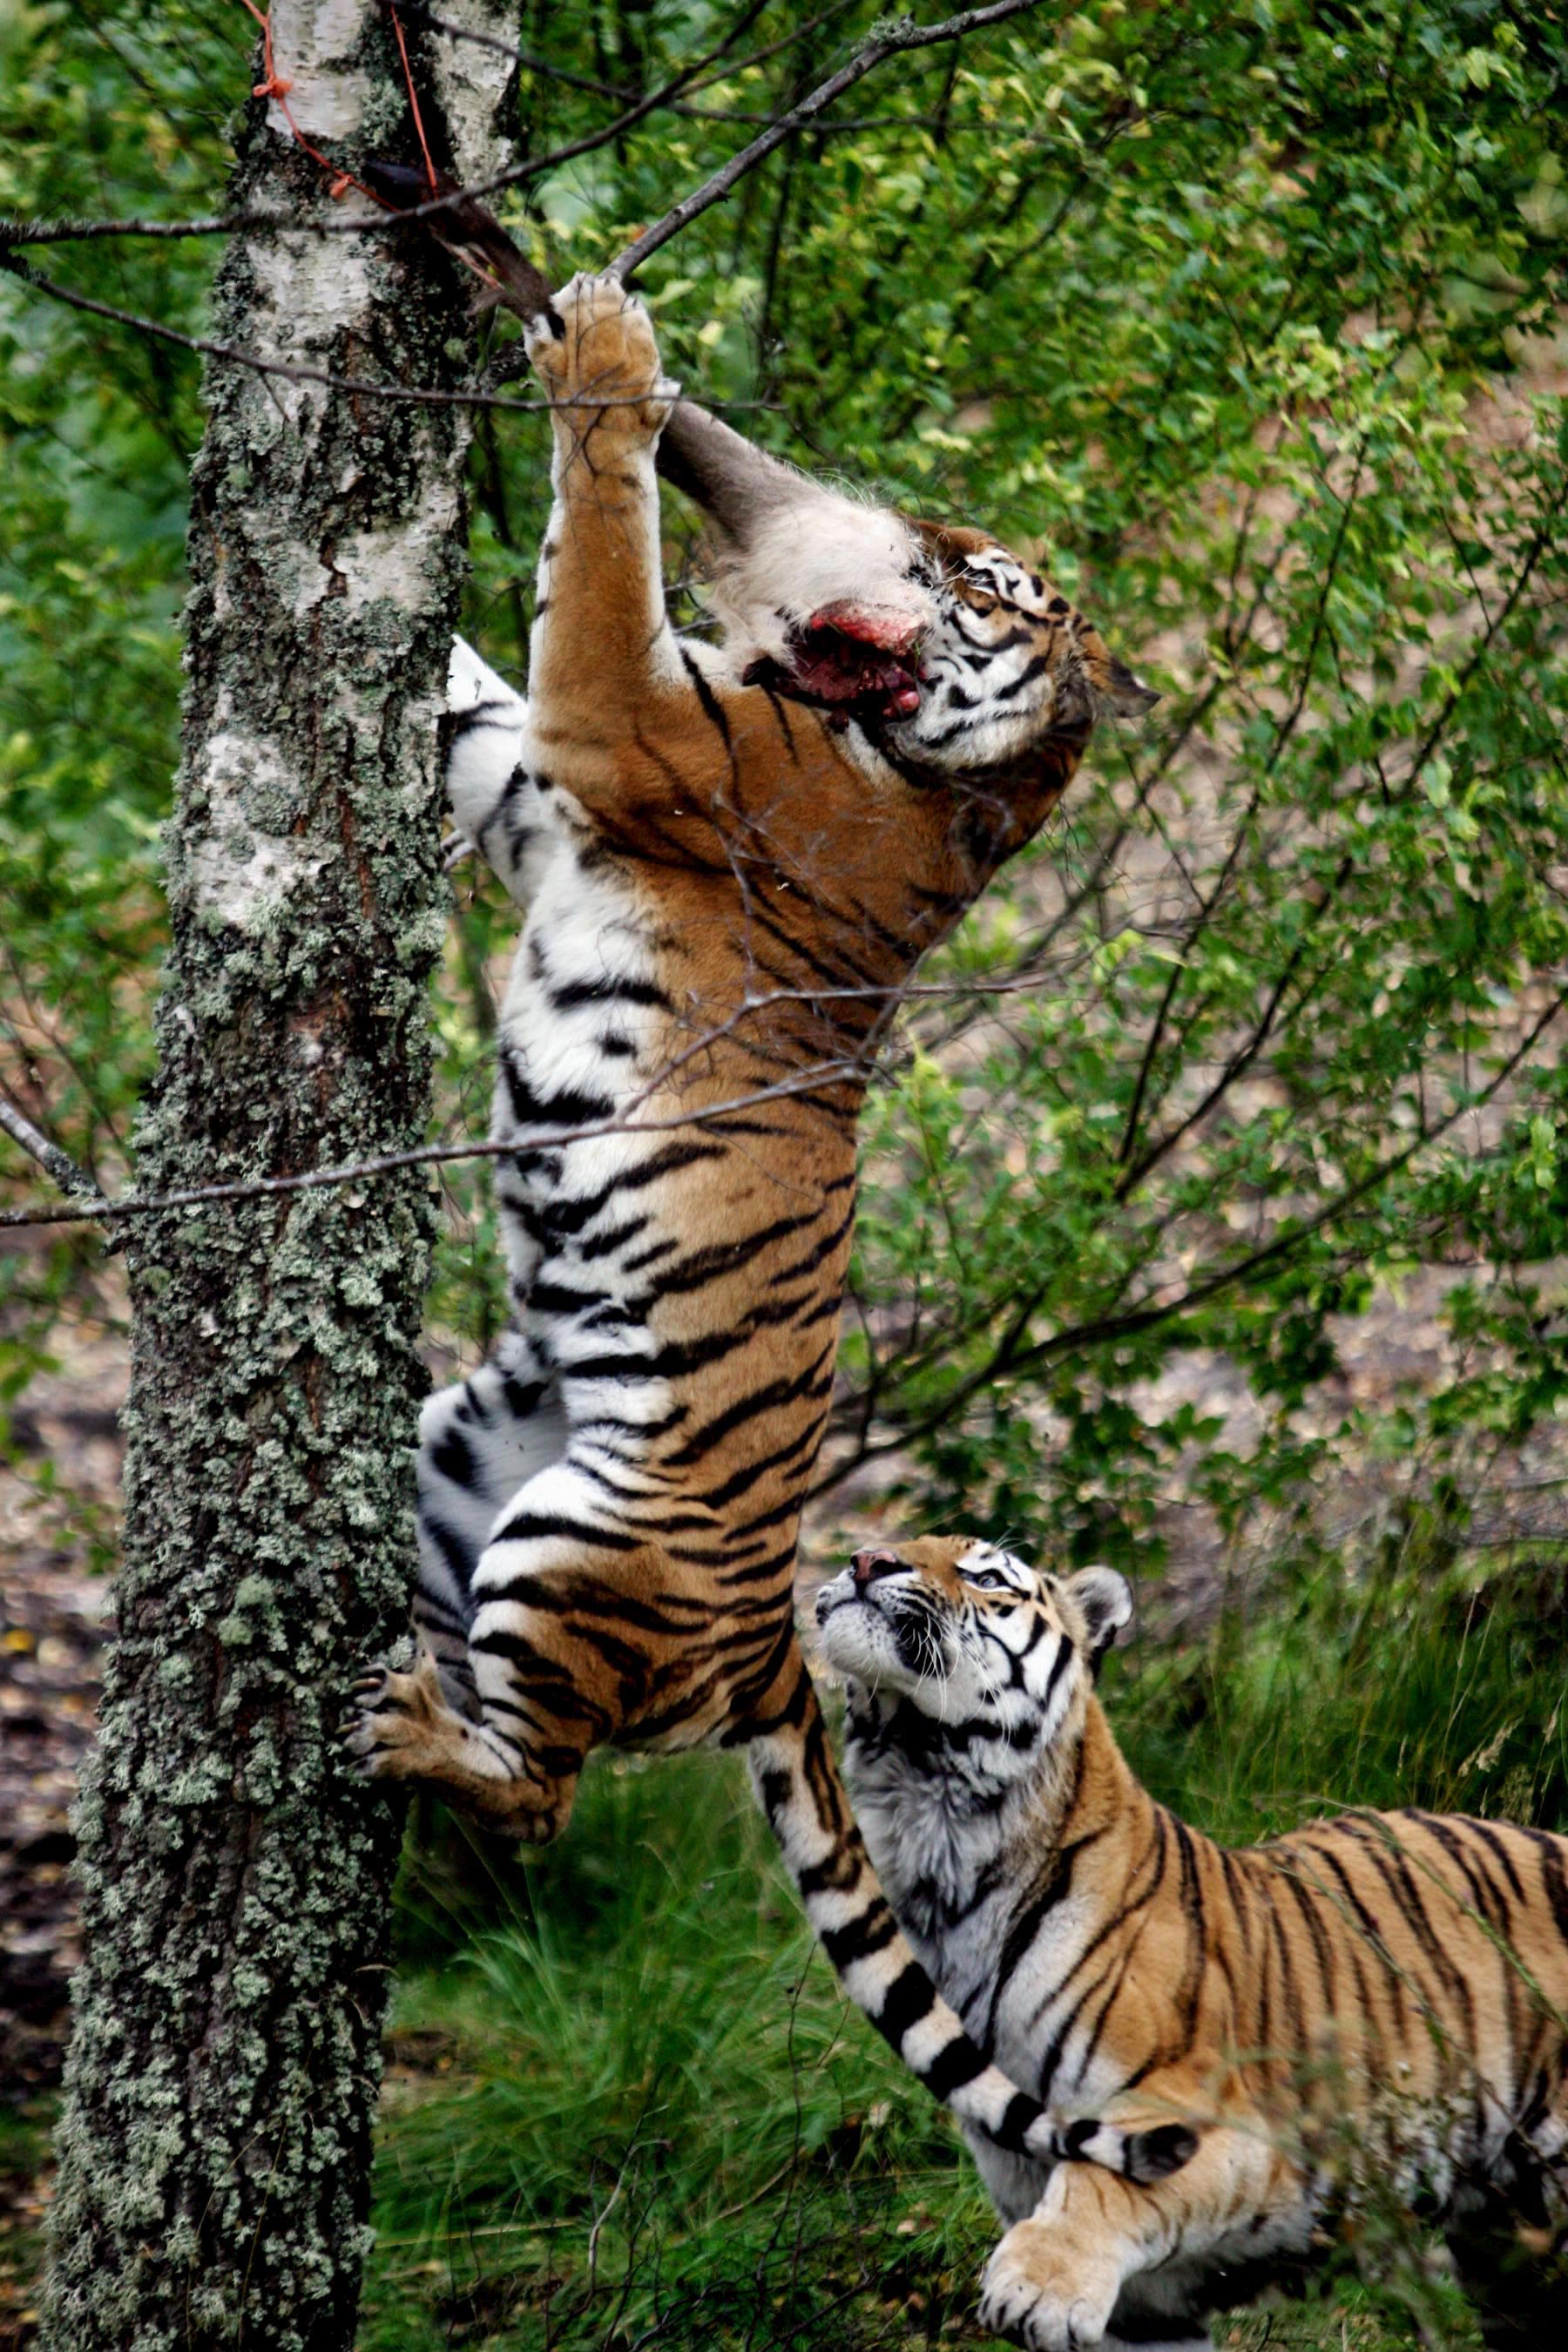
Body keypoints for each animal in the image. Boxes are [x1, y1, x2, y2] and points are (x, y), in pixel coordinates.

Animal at [347, 267, 1160, 2178]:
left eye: (989, 585)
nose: (929, 537)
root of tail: (775, 1645)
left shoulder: (617, 719)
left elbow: (595, 548)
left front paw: (605, 354)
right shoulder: (535, 760)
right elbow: (484, 657)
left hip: (586, 1540)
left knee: (547, 1790)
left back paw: (413, 1735)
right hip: (461, 1448)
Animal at [816, 1532, 1568, 2350]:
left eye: (986, 1576)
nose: (865, 1560)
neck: (940, 1836)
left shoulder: (1233, 2128)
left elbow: (1102, 2181)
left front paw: (1038, 2283)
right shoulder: (1144, 2311)